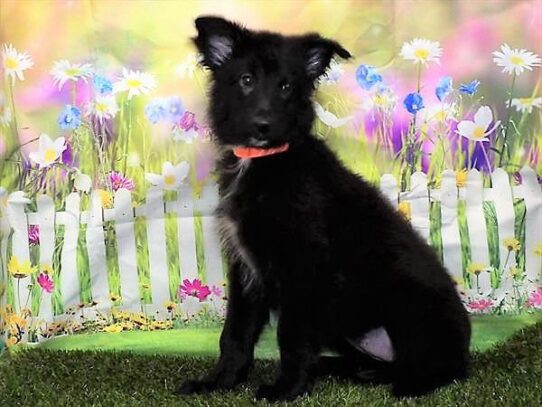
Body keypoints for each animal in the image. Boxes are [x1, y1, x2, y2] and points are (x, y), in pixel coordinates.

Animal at [180, 15, 472, 402]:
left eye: (286, 86)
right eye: (246, 80)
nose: (263, 126)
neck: (265, 161)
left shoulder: (305, 270)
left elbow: (291, 339)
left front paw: (286, 389)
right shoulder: (246, 270)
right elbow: (235, 335)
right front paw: (218, 382)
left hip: (407, 305)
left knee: (441, 368)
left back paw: (411, 384)